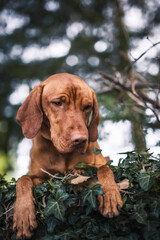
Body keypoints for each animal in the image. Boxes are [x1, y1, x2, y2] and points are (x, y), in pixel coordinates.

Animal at [13, 73, 122, 238]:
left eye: (87, 106)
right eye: (58, 103)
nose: (81, 139)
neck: (60, 153)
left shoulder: (95, 165)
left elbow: (104, 169)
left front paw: (109, 193)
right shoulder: (42, 177)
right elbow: (22, 180)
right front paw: (23, 213)